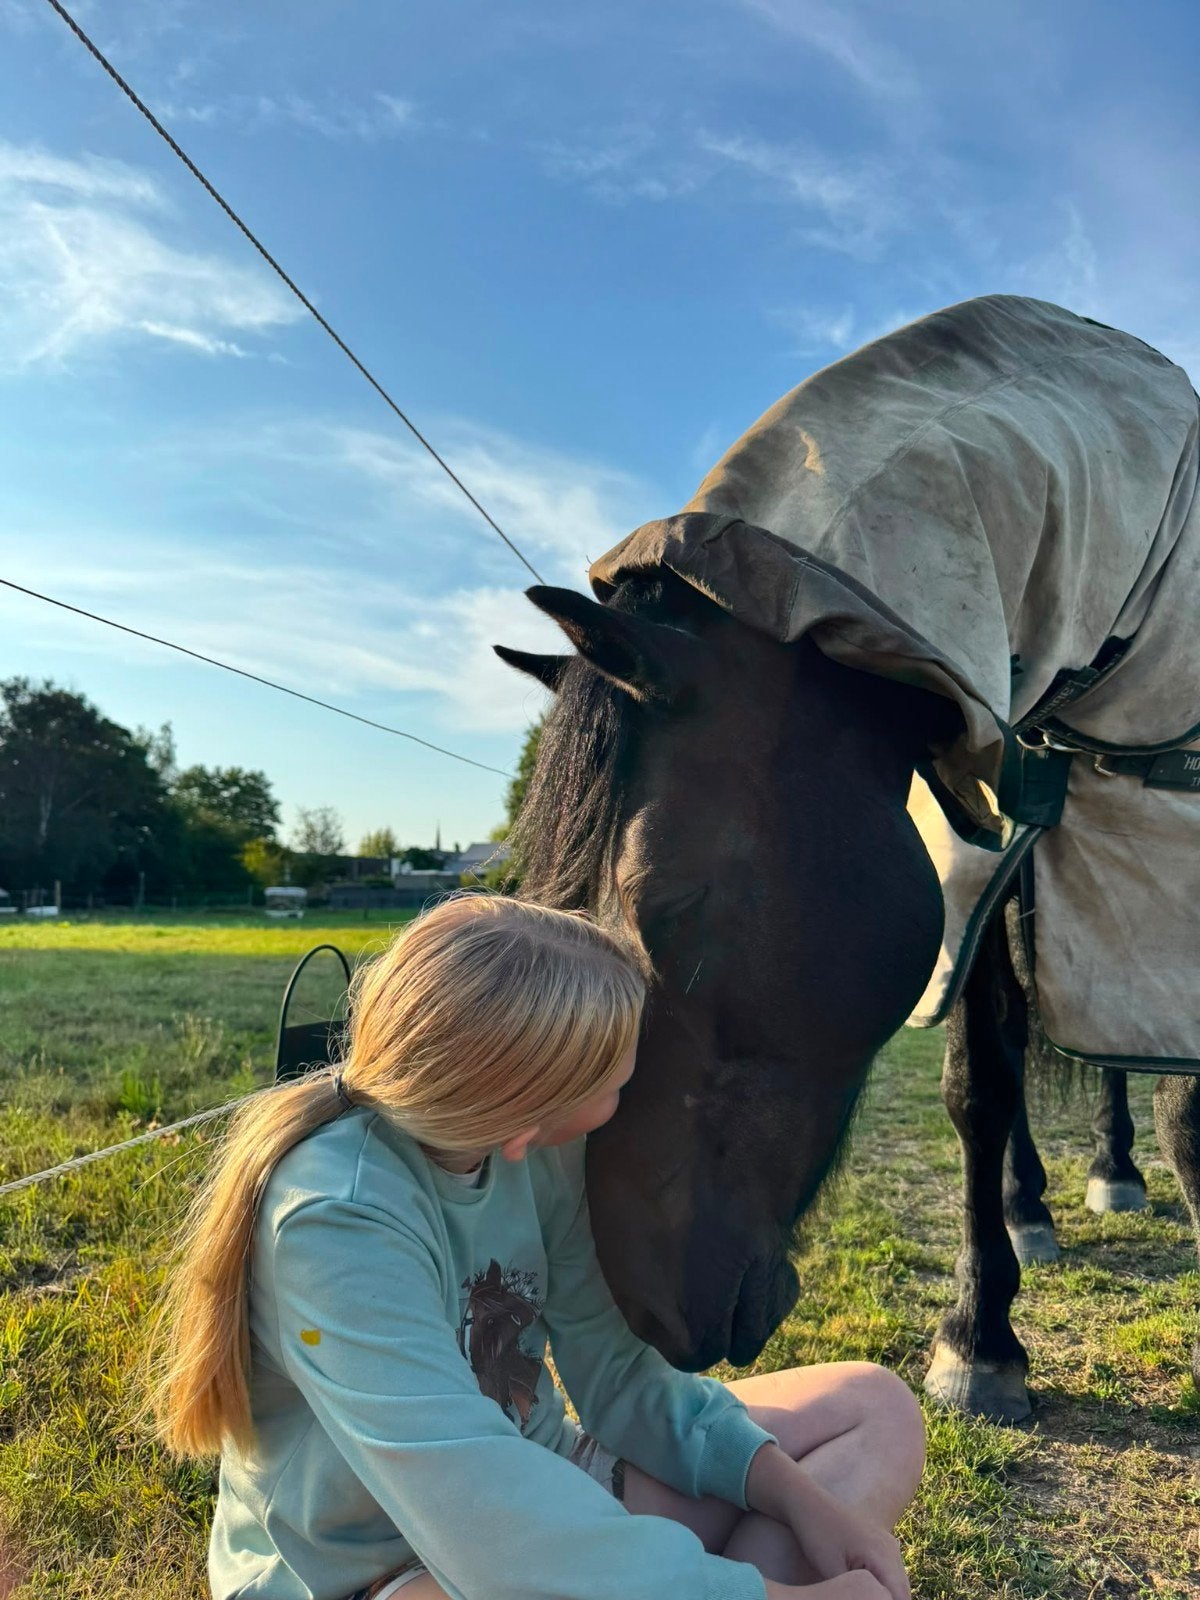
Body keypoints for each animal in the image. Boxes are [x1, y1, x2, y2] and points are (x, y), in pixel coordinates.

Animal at [495, 295, 1200, 1423]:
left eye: (669, 908)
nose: (644, 1308)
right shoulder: (975, 864)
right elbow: (979, 1084)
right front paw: (980, 1337)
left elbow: (1184, 1102)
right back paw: (1040, 1203)